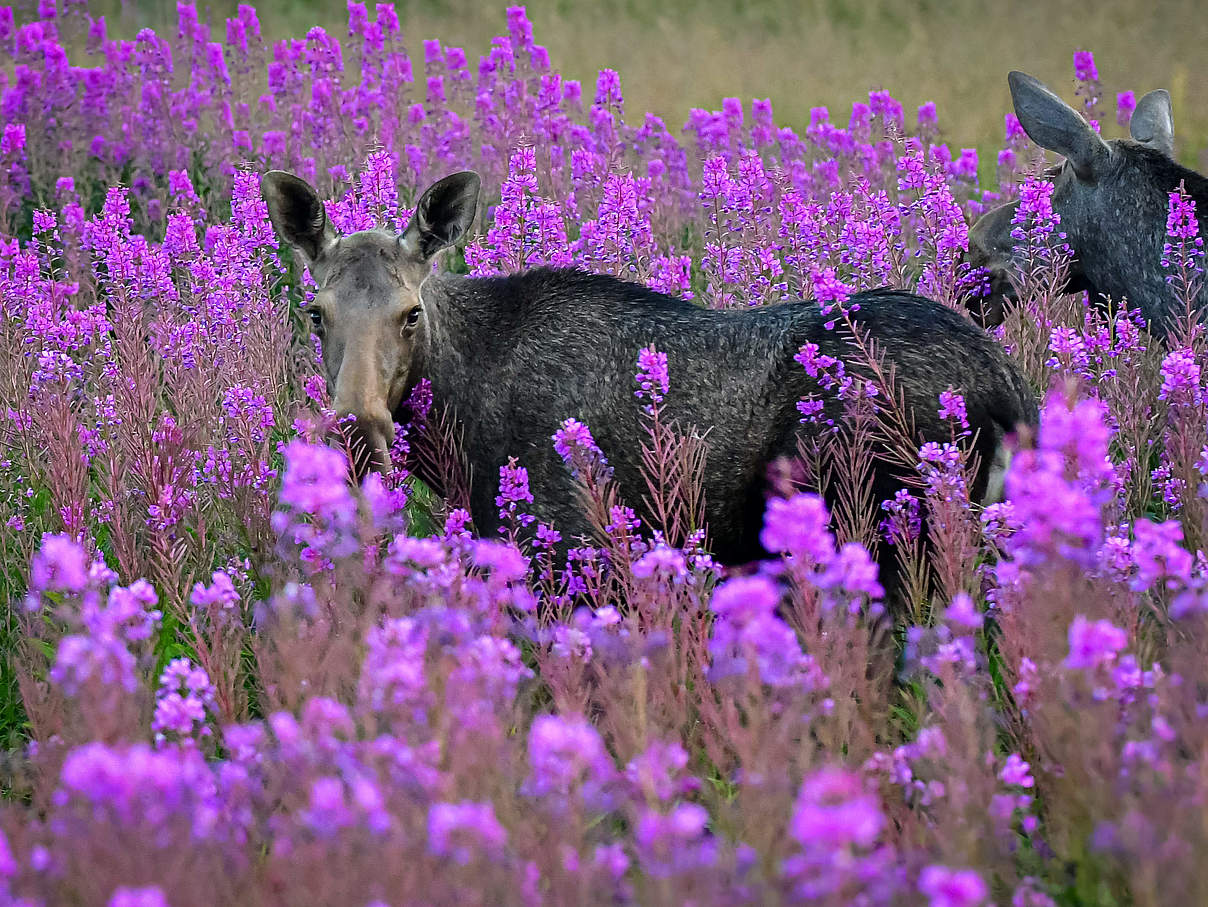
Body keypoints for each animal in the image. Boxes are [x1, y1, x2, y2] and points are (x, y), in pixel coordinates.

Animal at [264, 169, 1038, 582]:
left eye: (410, 313)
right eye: (314, 311)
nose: (355, 429)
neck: (455, 419)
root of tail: (1011, 390)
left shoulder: (566, 540)